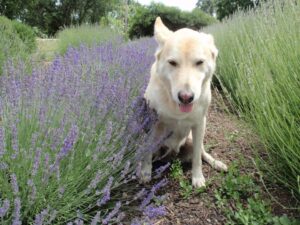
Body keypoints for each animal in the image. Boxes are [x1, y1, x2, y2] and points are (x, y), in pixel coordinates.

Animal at [140, 16, 227, 187]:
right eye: (172, 62)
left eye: (199, 62)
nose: (186, 97)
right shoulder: (151, 123)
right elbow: (146, 152)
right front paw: (145, 172)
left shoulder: (200, 124)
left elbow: (197, 158)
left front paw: (197, 177)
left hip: (193, 139)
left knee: (202, 153)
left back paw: (216, 163)